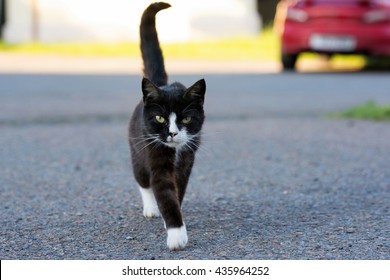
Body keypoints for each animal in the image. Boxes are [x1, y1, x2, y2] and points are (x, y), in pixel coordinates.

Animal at [129, 2, 207, 250]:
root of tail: (160, 84)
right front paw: (176, 235)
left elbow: (178, 191)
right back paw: (151, 208)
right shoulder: (155, 156)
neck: (174, 151)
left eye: (186, 119)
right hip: (136, 150)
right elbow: (162, 190)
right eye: (160, 119)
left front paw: (173, 221)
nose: (172, 133)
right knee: (142, 180)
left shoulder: (187, 160)